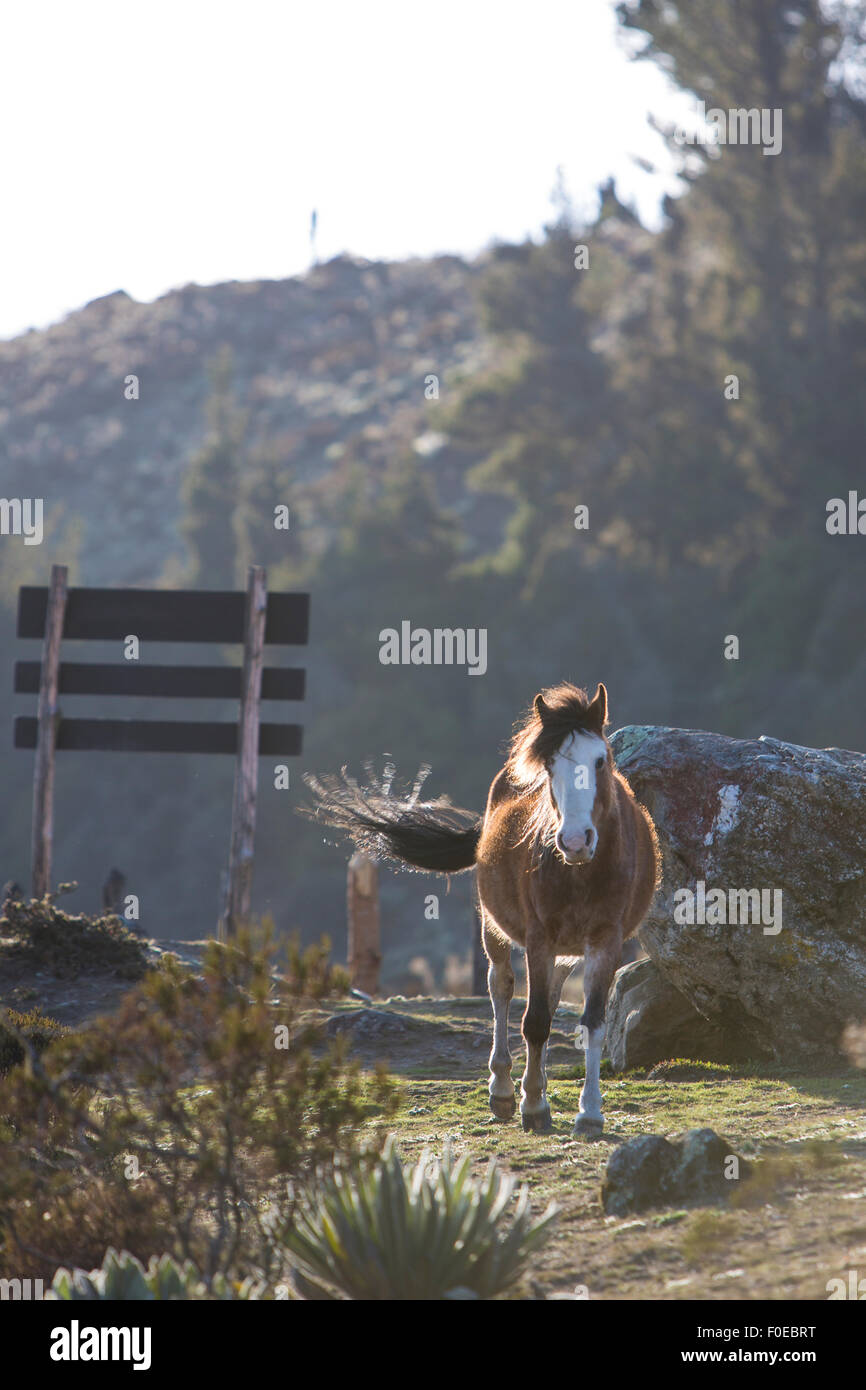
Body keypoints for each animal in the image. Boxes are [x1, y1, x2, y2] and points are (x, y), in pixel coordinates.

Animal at [301, 681, 661, 1139]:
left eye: (600, 760)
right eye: (549, 766)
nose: (576, 840)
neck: (582, 871)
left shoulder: (606, 941)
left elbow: (592, 1022)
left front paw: (589, 1113)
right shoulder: (539, 937)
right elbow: (534, 1021)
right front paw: (532, 1106)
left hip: (565, 948)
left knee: (549, 996)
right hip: (496, 929)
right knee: (501, 988)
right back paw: (505, 1088)